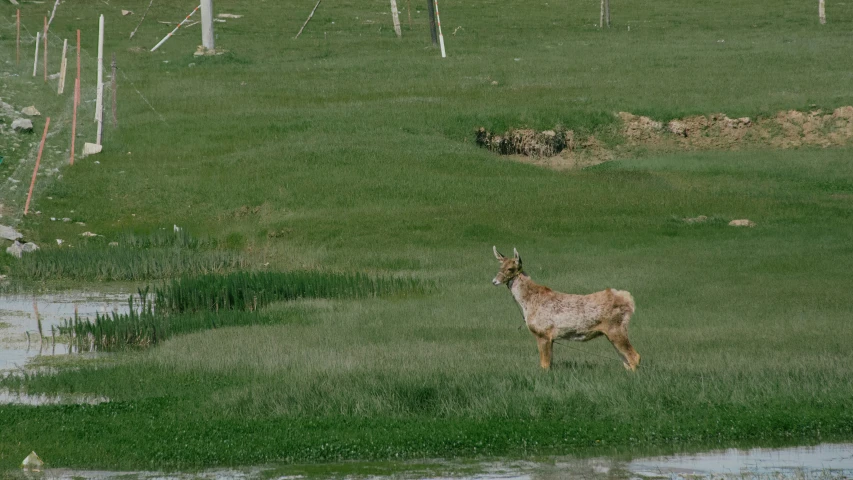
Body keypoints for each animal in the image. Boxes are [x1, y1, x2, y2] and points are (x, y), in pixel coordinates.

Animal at [492, 248, 640, 372]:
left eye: (510, 268)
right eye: (500, 266)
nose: (494, 281)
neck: (528, 303)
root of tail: (629, 300)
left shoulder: (543, 332)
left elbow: (544, 365)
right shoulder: (550, 337)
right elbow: (549, 363)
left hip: (616, 328)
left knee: (634, 356)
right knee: (626, 360)